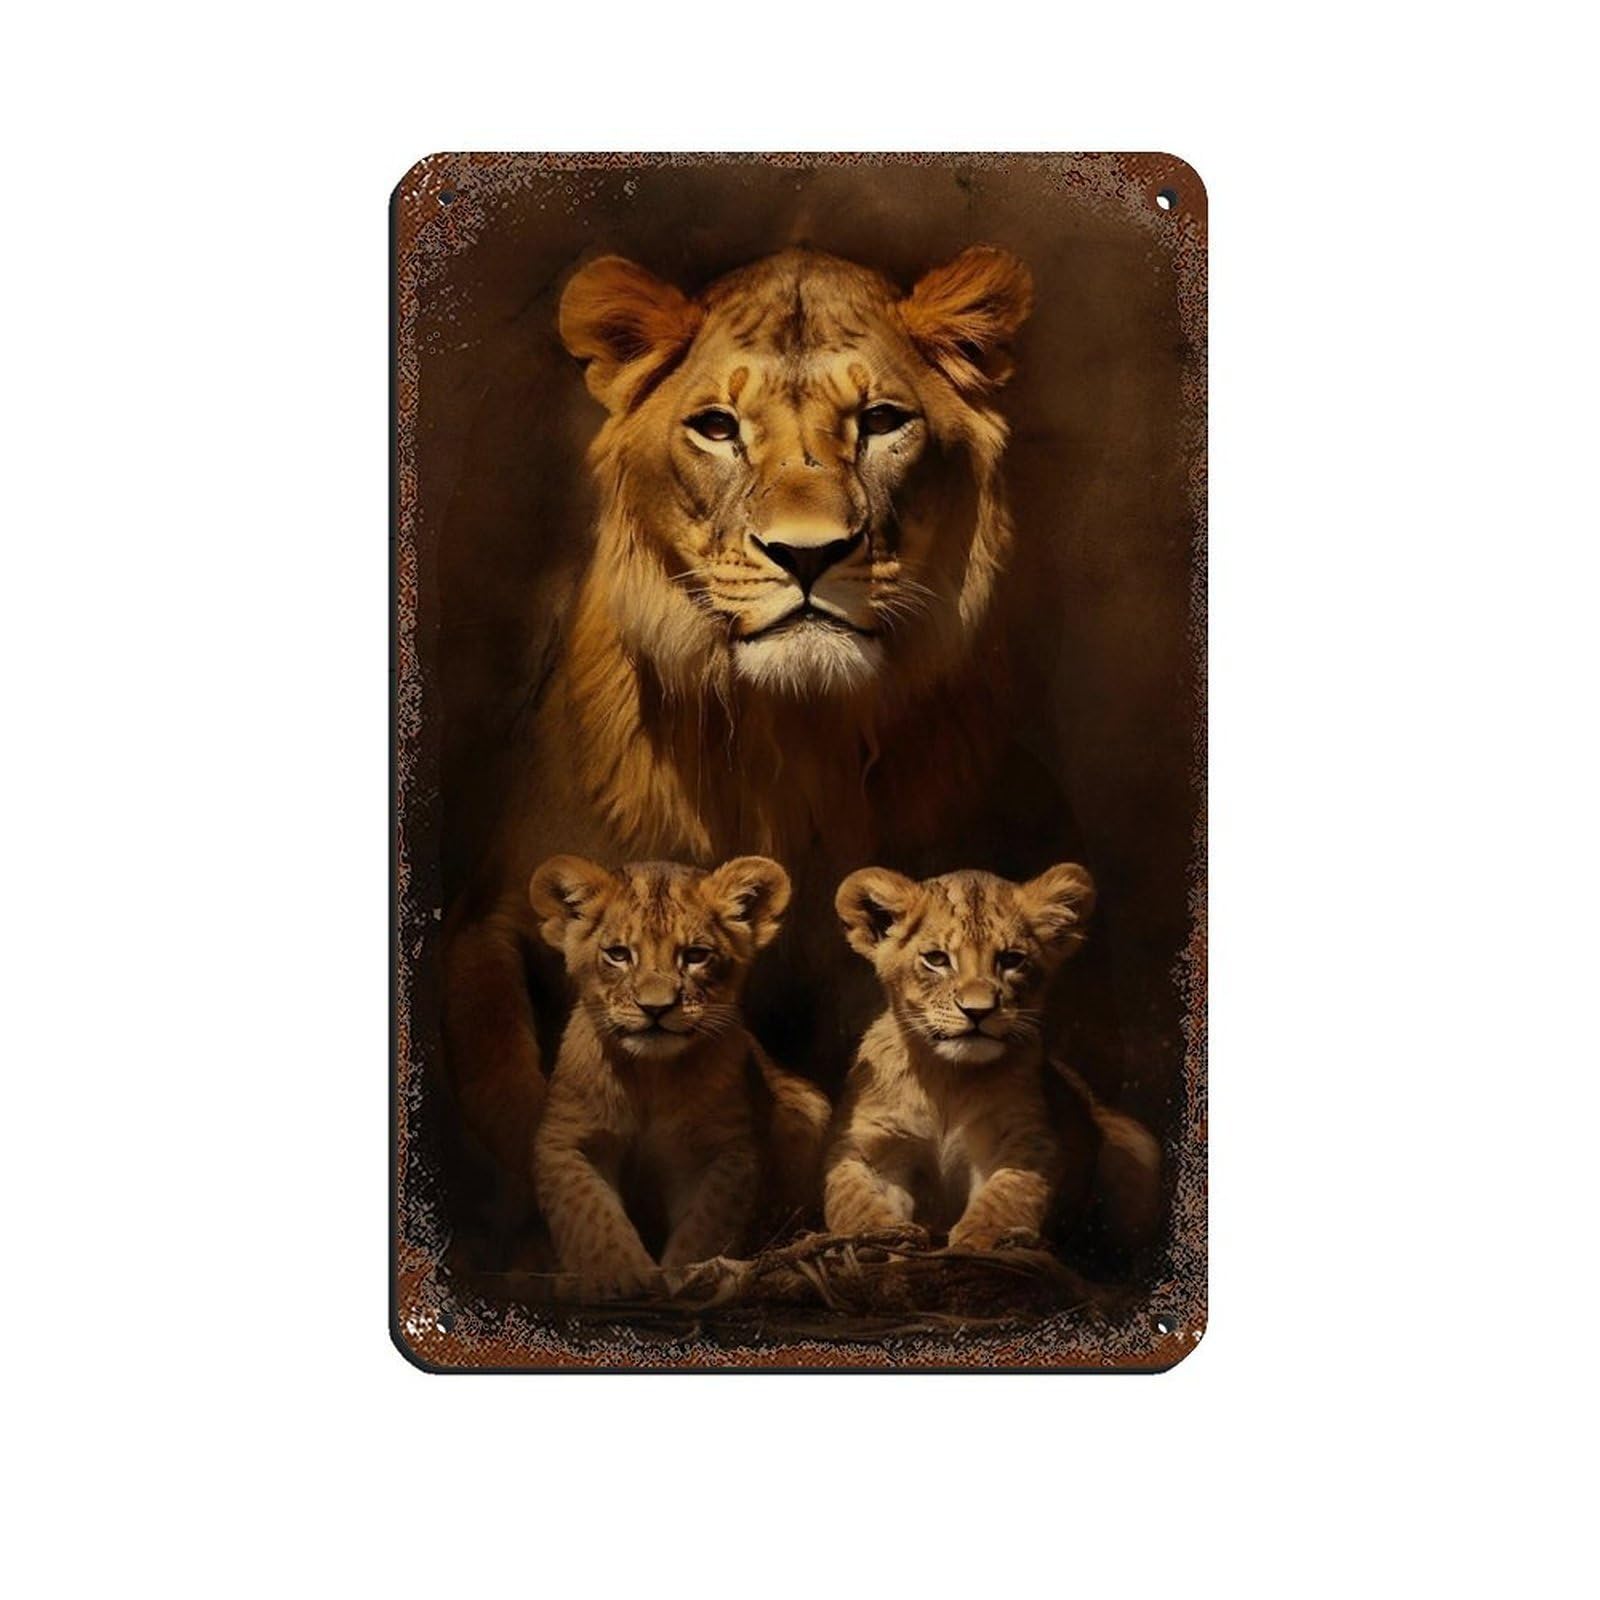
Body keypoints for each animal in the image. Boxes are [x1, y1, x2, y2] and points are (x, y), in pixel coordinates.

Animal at [443, 243, 1048, 1216]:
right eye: (718, 427)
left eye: (882, 421)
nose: (807, 554)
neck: (787, 742)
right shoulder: (492, 916)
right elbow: (504, 1067)